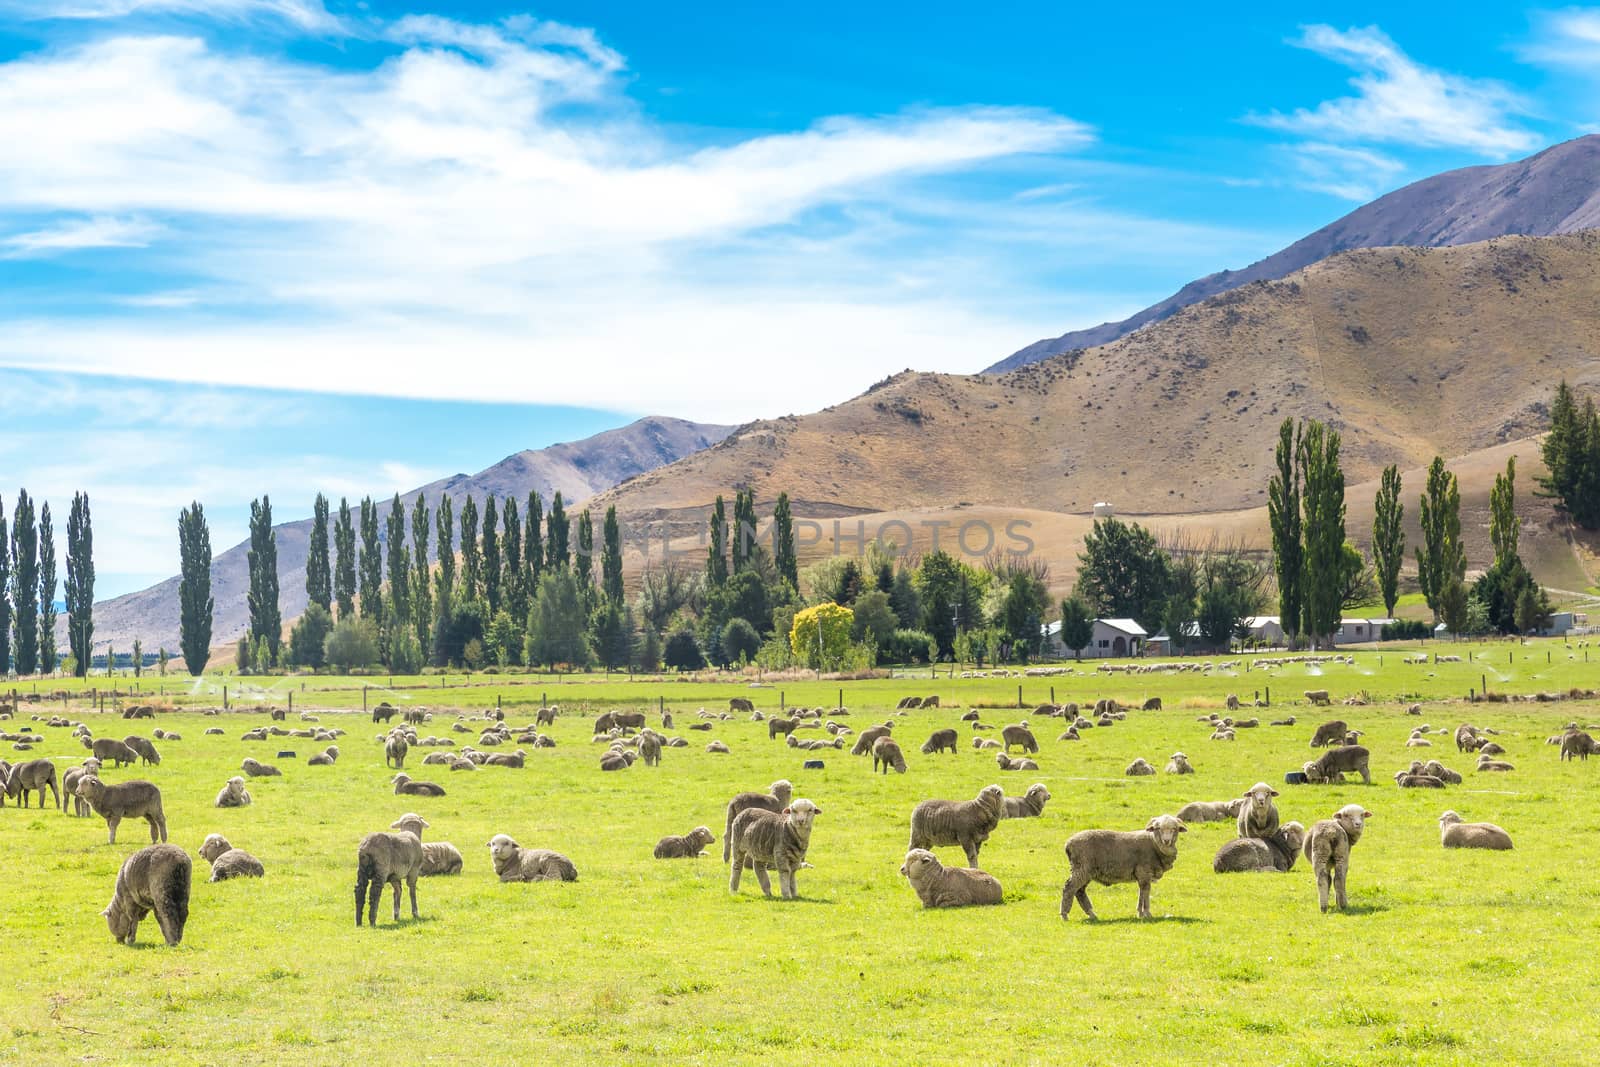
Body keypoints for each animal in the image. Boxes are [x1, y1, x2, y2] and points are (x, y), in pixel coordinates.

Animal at [1062, 812, 1190, 921]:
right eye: (1158, 828)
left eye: (1174, 829)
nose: (1166, 840)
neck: (1154, 843)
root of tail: (1068, 843)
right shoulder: (1144, 871)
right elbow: (1146, 892)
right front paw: (1147, 913)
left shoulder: (1142, 875)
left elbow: (1141, 892)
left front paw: (1140, 914)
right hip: (1082, 867)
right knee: (1069, 888)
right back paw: (1065, 915)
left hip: (1086, 870)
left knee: (1080, 891)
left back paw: (1092, 914)